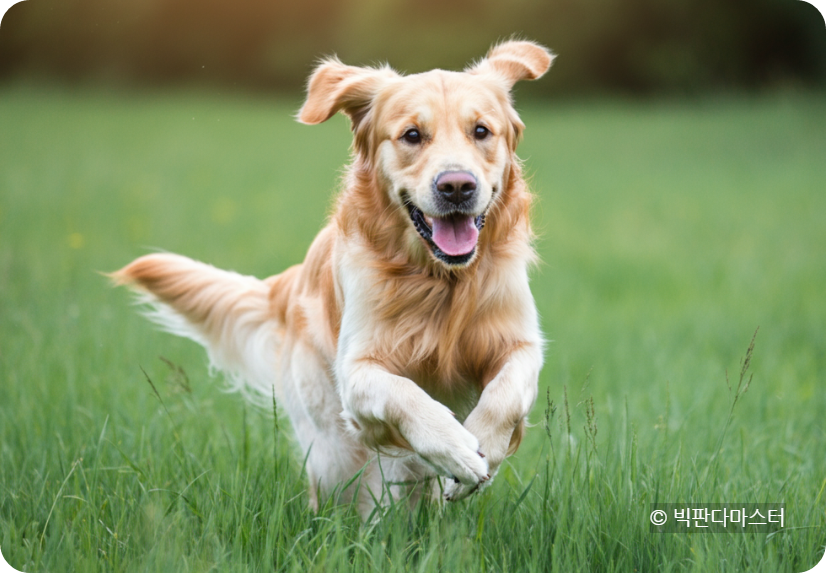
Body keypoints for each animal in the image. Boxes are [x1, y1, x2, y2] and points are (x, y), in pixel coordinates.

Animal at [112, 38, 552, 516]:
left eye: (482, 131)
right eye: (412, 135)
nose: (457, 186)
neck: (440, 280)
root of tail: (289, 283)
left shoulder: (520, 342)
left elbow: (506, 393)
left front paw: (483, 446)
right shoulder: (356, 372)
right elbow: (404, 394)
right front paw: (456, 448)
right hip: (332, 446)